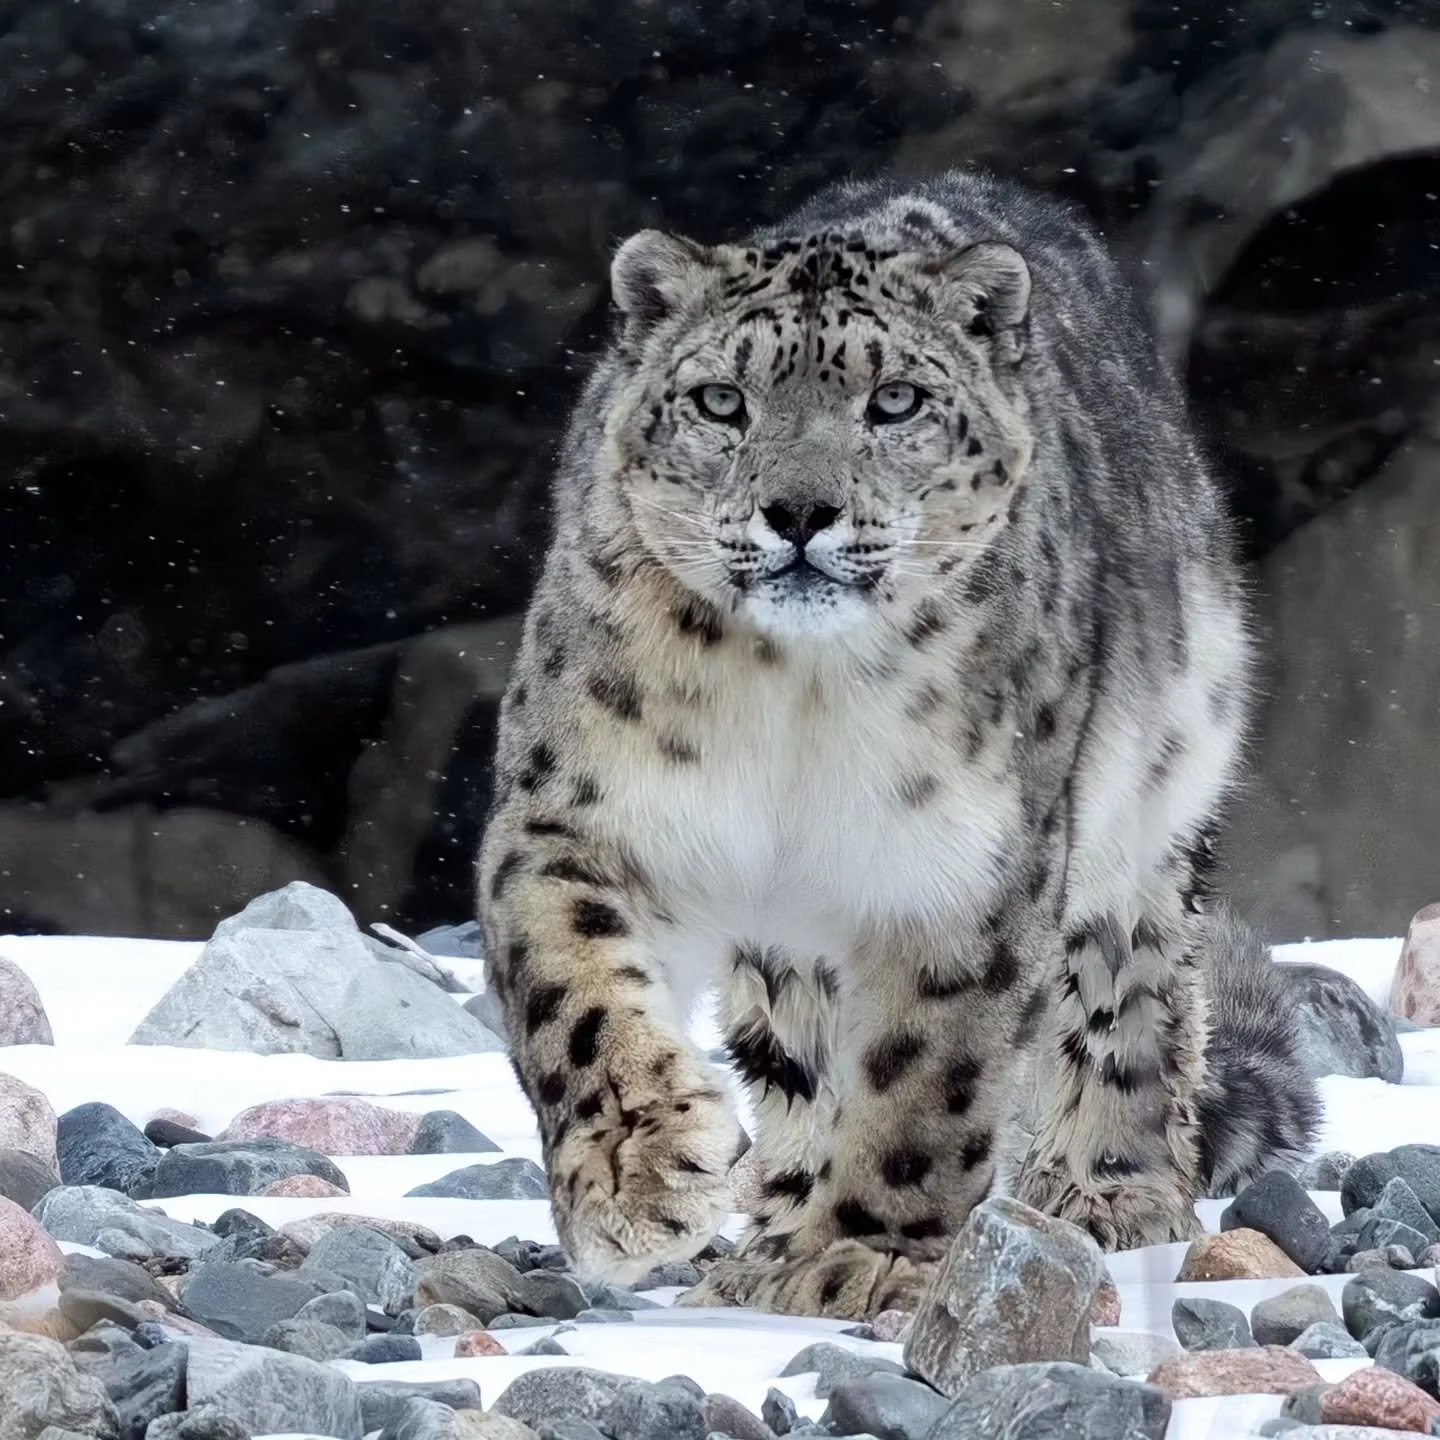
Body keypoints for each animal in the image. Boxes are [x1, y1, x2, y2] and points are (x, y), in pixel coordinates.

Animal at [475, 168, 1320, 1320]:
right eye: (721, 401)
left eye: (896, 402)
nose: (798, 509)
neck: (793, 700)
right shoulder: (581, 812)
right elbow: (575, 993)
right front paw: (637, 1184)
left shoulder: (963, 863)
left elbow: (927, 1071)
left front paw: (867, 1256)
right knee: (796, 1051)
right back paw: (767, 1239)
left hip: (1152, 810)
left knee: (1129, 995)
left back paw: (1106, 1187)